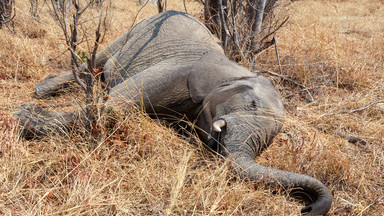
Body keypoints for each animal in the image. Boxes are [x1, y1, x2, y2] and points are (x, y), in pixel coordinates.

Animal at [14, 10, 332, 216]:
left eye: (269, 142)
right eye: (252, 104)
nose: (305, 207)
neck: (234, 70)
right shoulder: (180, 72)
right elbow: (114, 105)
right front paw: (23, 117)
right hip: (136, 30)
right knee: (95, 61)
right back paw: (42, 91)